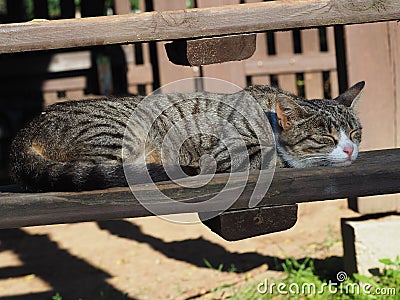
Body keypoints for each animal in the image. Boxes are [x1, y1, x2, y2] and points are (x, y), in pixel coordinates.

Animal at [10, 81, 364, 191]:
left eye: (355, 134)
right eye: (327, 138)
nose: (350, 150)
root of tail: (24, 132)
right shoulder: (228, 150)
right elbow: (275, 159)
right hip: (118, 136)